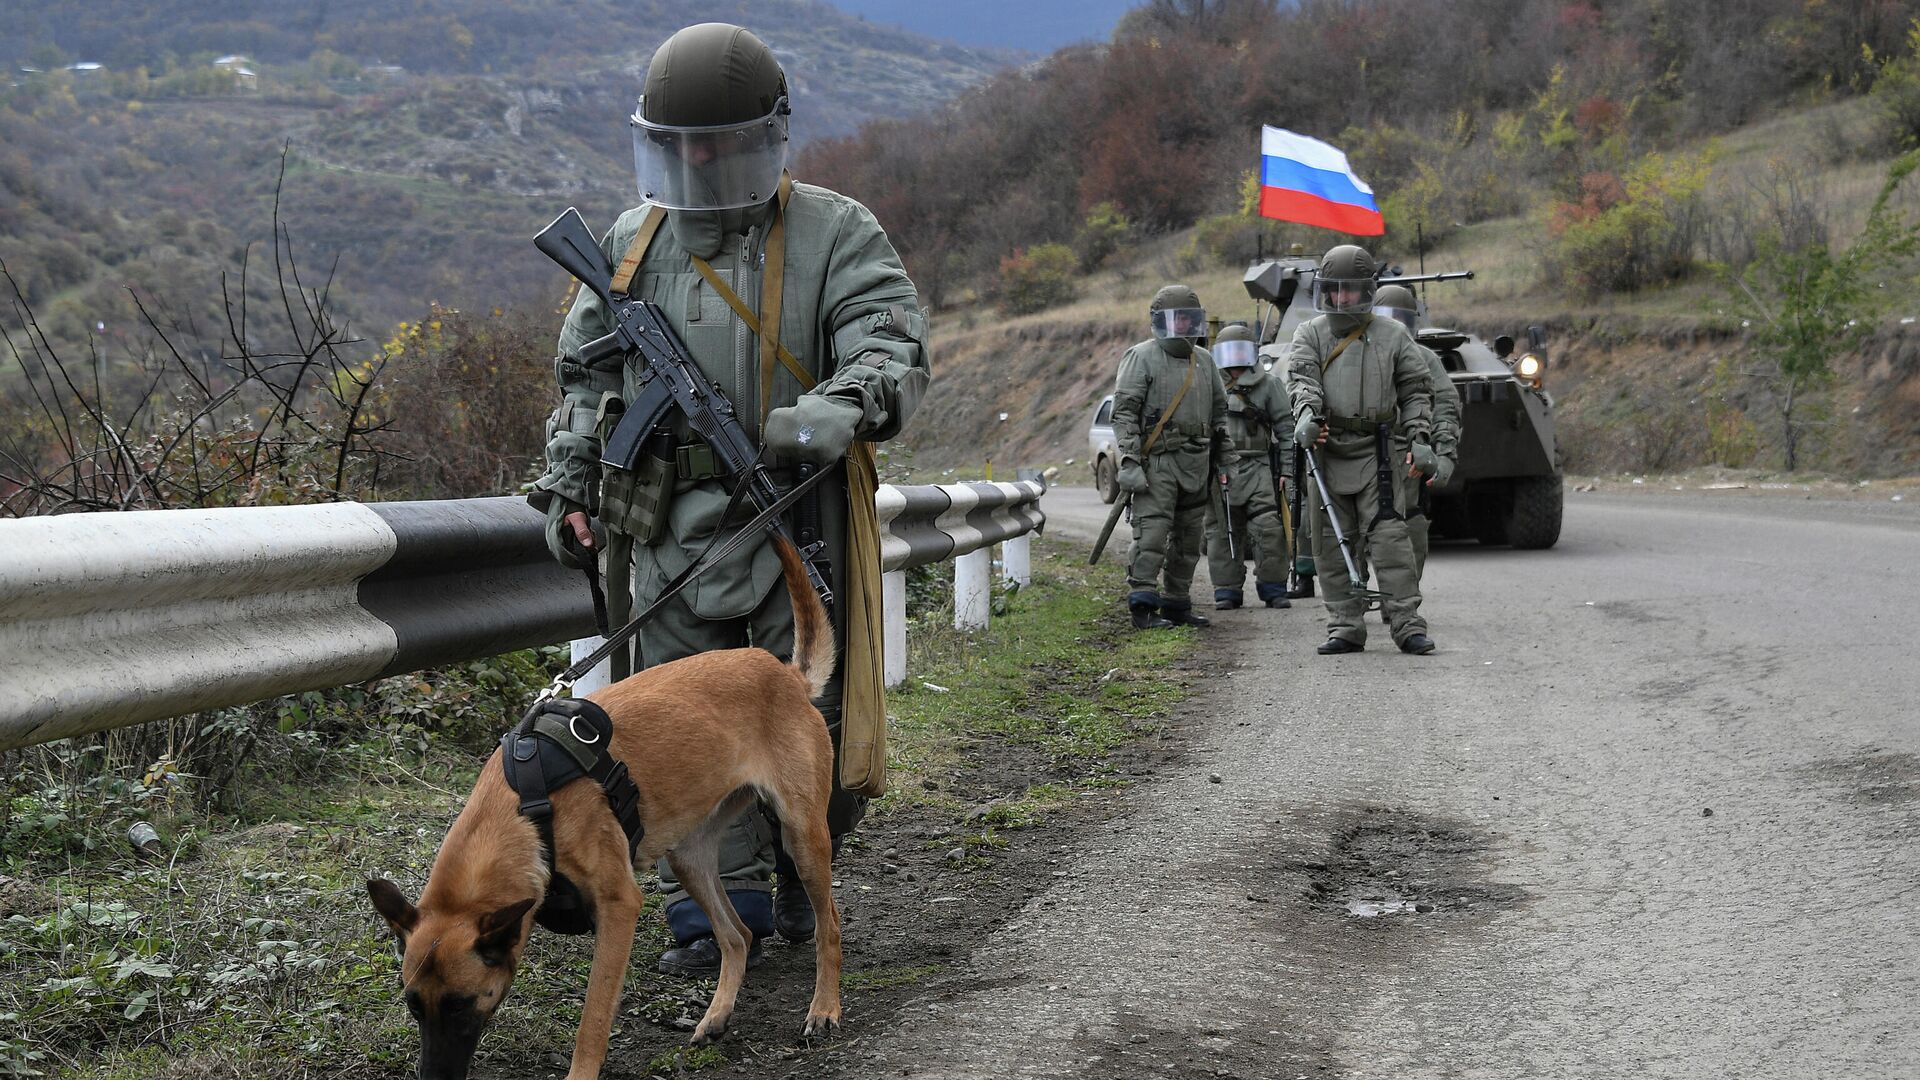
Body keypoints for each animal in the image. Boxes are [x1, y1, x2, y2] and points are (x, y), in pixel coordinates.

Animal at [366, 534, 840, 1076]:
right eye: (413, 1006)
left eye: (460, 1005)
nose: (433, 1077)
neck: (527, 810)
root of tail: (786, 675)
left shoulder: (618, 907)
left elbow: (593, 1017)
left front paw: (580, 1071)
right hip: (689, 858)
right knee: (736, 934)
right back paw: (717, 1015)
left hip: (802, 837)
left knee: (829, 925)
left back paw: (824, 1009)